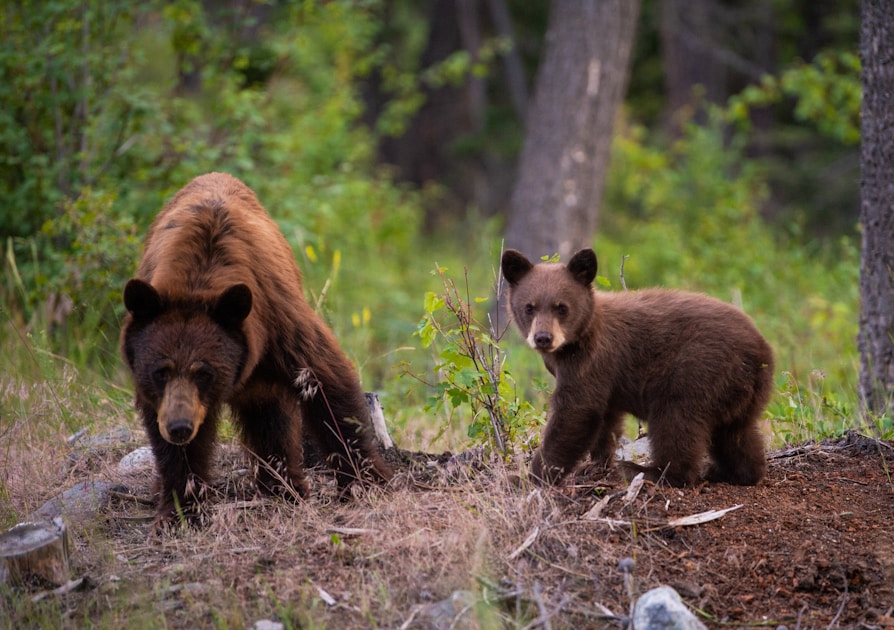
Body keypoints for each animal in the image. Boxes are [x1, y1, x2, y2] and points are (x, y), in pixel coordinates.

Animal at [121, 172, 392, 528]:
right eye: (160, 371)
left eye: (204, 372)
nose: (180, 427)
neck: (197, 280)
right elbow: (170, 446)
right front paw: (181, 508)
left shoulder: (278, 321)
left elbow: (326, 384)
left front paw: (365, 482)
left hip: (264, 378)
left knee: (271, 420)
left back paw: (284, 487)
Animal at [501, 248, 774, 487]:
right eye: (529, 307)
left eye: (562, 307)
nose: (543, 338)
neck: (577, 339)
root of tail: (761, 352)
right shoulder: (604, 377)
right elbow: (605, 418)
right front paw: (596, 463)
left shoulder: (592, 360)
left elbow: (576, 412)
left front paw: (530, 477)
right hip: (739, 392)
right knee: (736, 433)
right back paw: (733, 472)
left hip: (698, 370)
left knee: (676, 421)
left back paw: (650, 471)